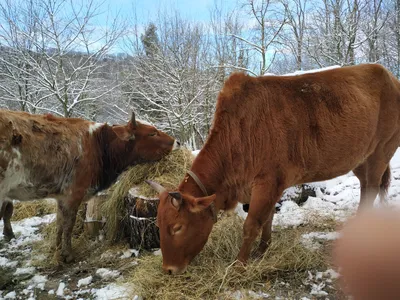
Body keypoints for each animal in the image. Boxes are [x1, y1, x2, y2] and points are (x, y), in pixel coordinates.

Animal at [0, 110, 180, 262]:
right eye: (152, 133)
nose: (177, 142)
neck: (98, 144)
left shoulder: (62, 196)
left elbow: (59, 224)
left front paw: (56, 250)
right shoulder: (74, 193)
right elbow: (68, 224)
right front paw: (68, 254)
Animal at [148, 63, 400, 274]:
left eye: (177, 227)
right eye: (158, 224)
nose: (168, 269)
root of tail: (388, 75)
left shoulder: (268, 181)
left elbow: (251, 225)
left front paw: (239, 264)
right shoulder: (267, 186)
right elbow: (267, 218)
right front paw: (262, 249)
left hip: (381, 152)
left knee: (371, 189)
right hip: (361, 160)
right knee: (366, 186)